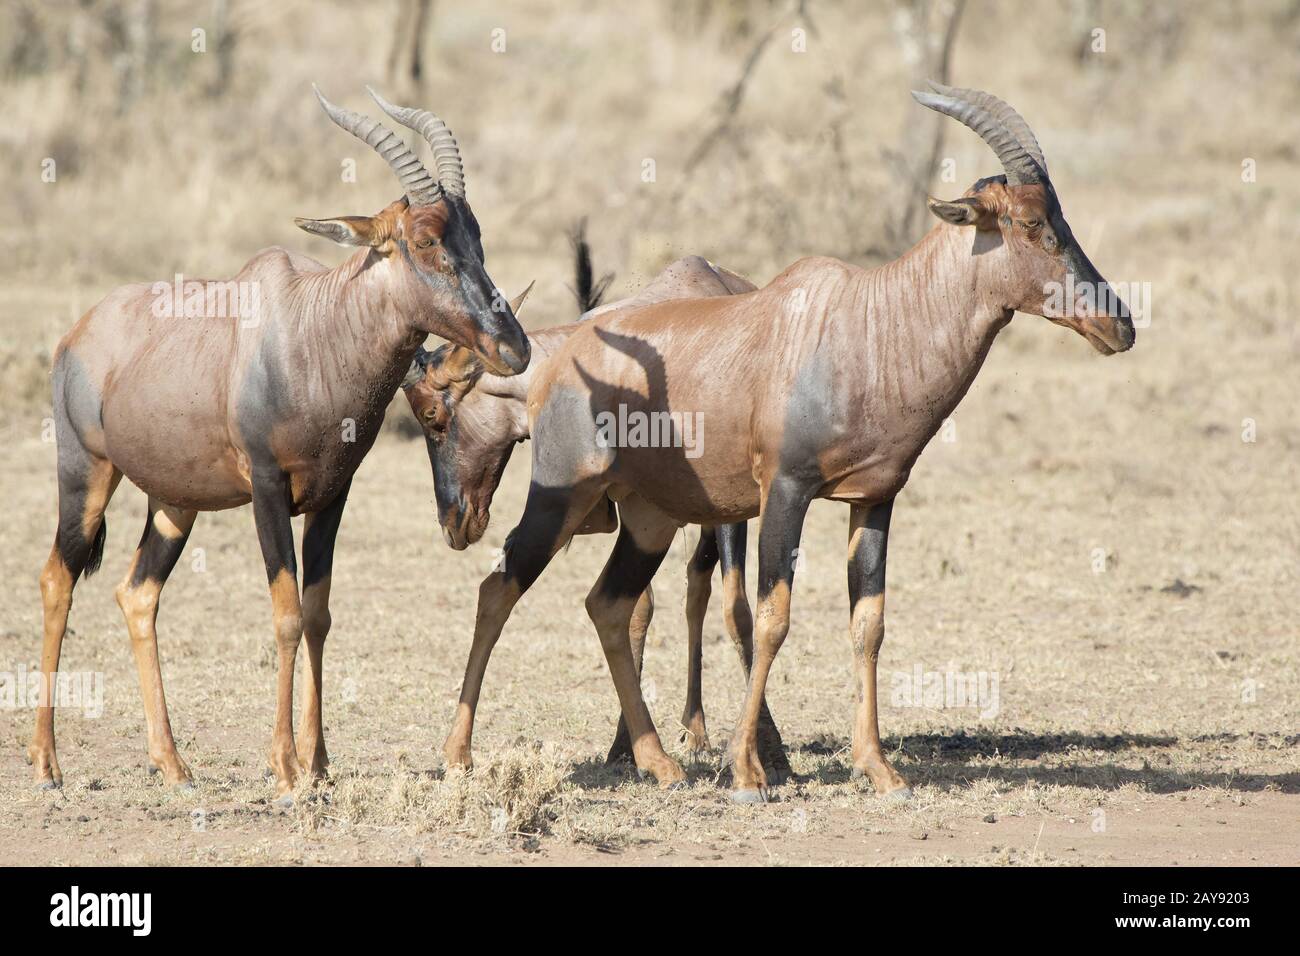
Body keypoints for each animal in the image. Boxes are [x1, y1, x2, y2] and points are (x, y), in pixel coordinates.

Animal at [29, 86, 529, 803]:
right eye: (426, 239)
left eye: (477, 234)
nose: (513, 347)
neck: (313, 328)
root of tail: (78, 332)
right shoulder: (267, 489)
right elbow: (286, 613)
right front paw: (287, 767)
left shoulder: (331, 496)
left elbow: (318, 615)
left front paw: (318, 764)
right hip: (86, 473)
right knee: (57, 578)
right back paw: (47, 764)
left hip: (174, 502)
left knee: (137, 593)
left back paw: (172, 764)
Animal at [404, 243, 791, 779]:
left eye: (432, 415)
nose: (453, 524)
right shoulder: (638, 511)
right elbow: (635, 611)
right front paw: (624, 746)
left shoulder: (729, 510)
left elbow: (737, 613)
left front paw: (771, 749)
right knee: (680, 590)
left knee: (701, 590)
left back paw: (698, 729)